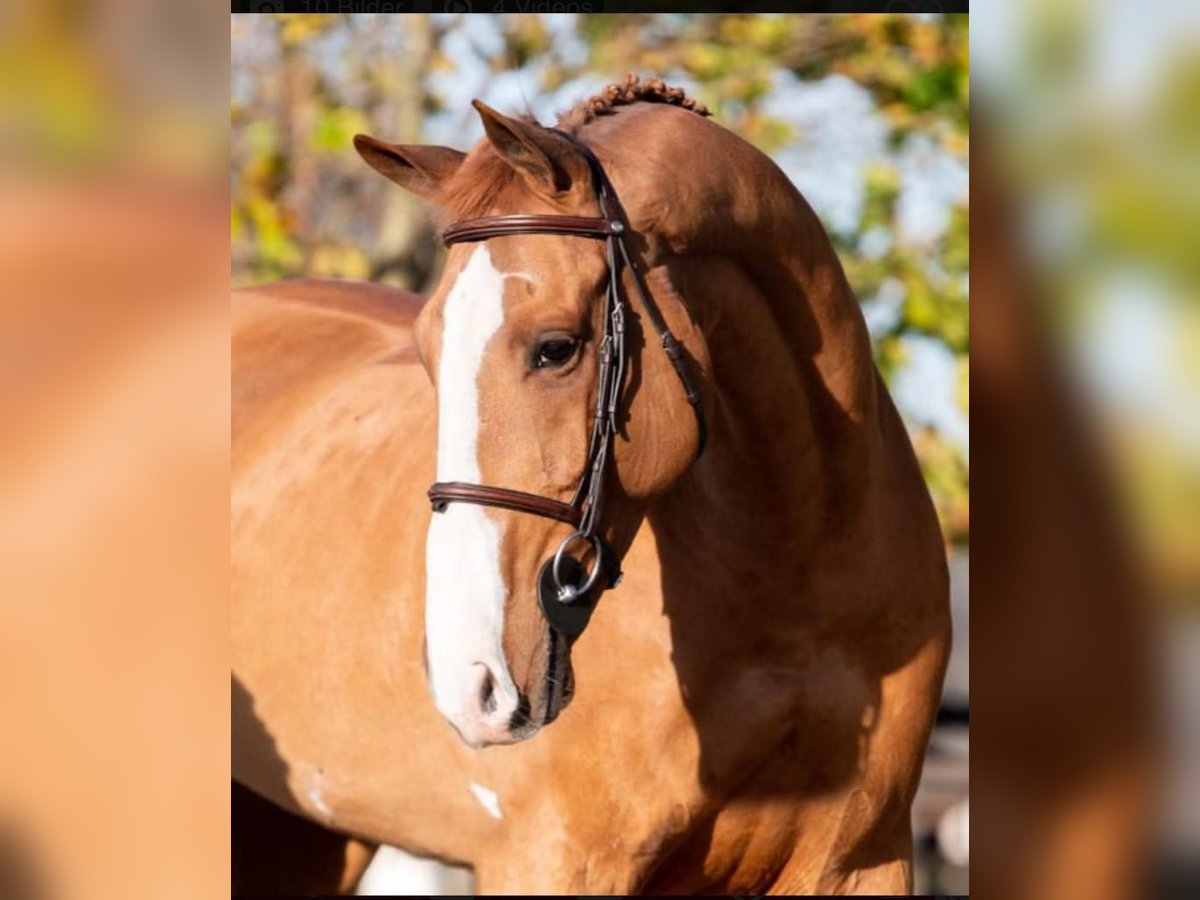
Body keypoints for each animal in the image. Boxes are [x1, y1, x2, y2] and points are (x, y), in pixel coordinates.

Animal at [231, 79, 945, 897]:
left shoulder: (862, 862)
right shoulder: (556, 861)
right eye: (427, 350)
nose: (468, 681)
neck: (794, 590)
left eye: (555, 348)